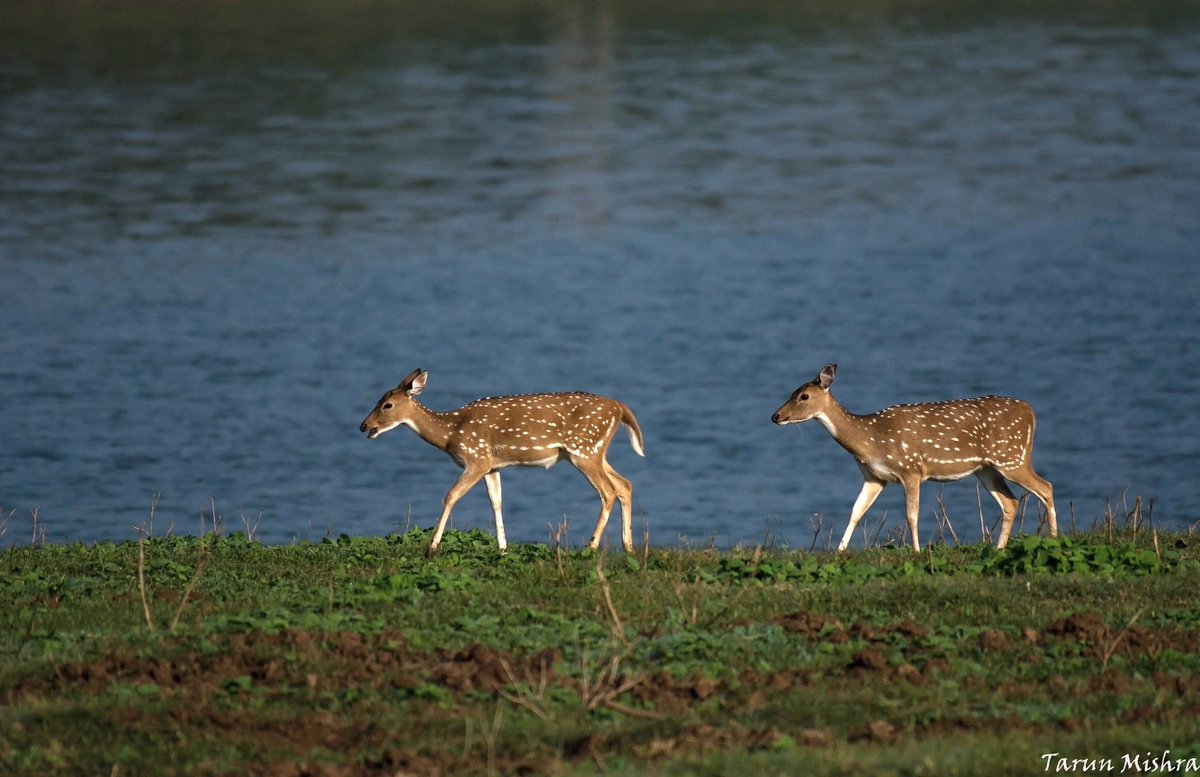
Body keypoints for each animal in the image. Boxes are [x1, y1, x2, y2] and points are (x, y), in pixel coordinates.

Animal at [360, 369, 644, 557]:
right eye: (377, 399)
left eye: (387, 405)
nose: (364, 426)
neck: (451, 432)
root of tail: (620, 408)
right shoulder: (492, 465)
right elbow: (496, 502)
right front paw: (503, 548)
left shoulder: (476, 458)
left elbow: (451, 495)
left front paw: (431, 547)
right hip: (595, 452)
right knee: (625, 484)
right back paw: (629, 546)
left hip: (583, 450)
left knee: (608, 491)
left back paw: (592, 545)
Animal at [771, 363, 1057, 553]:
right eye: (791, 392)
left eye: (804, 396)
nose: (775, 416)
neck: (870, 439)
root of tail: (1030, 412)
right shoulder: (874, 477)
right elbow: (856, 511)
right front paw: (839, 552)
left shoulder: (910, 469)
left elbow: (912, 515)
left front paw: (917, 552)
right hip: (986, 468)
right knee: (1011, 502)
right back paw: (999, 549)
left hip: (1012, 457)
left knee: (1046, 487)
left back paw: (1054, 539)